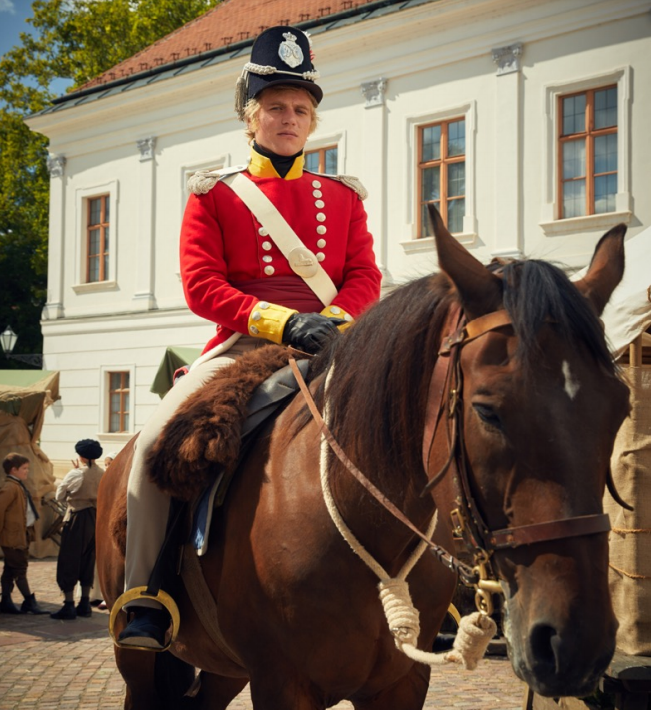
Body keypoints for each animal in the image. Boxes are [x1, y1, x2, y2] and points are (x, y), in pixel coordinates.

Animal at [97, 216, 632, 710]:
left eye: (622, 407)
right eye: (487, 410)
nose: (576, 645)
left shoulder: (402, 682)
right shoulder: (281, 684)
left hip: (224, 669)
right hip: (138, 660)